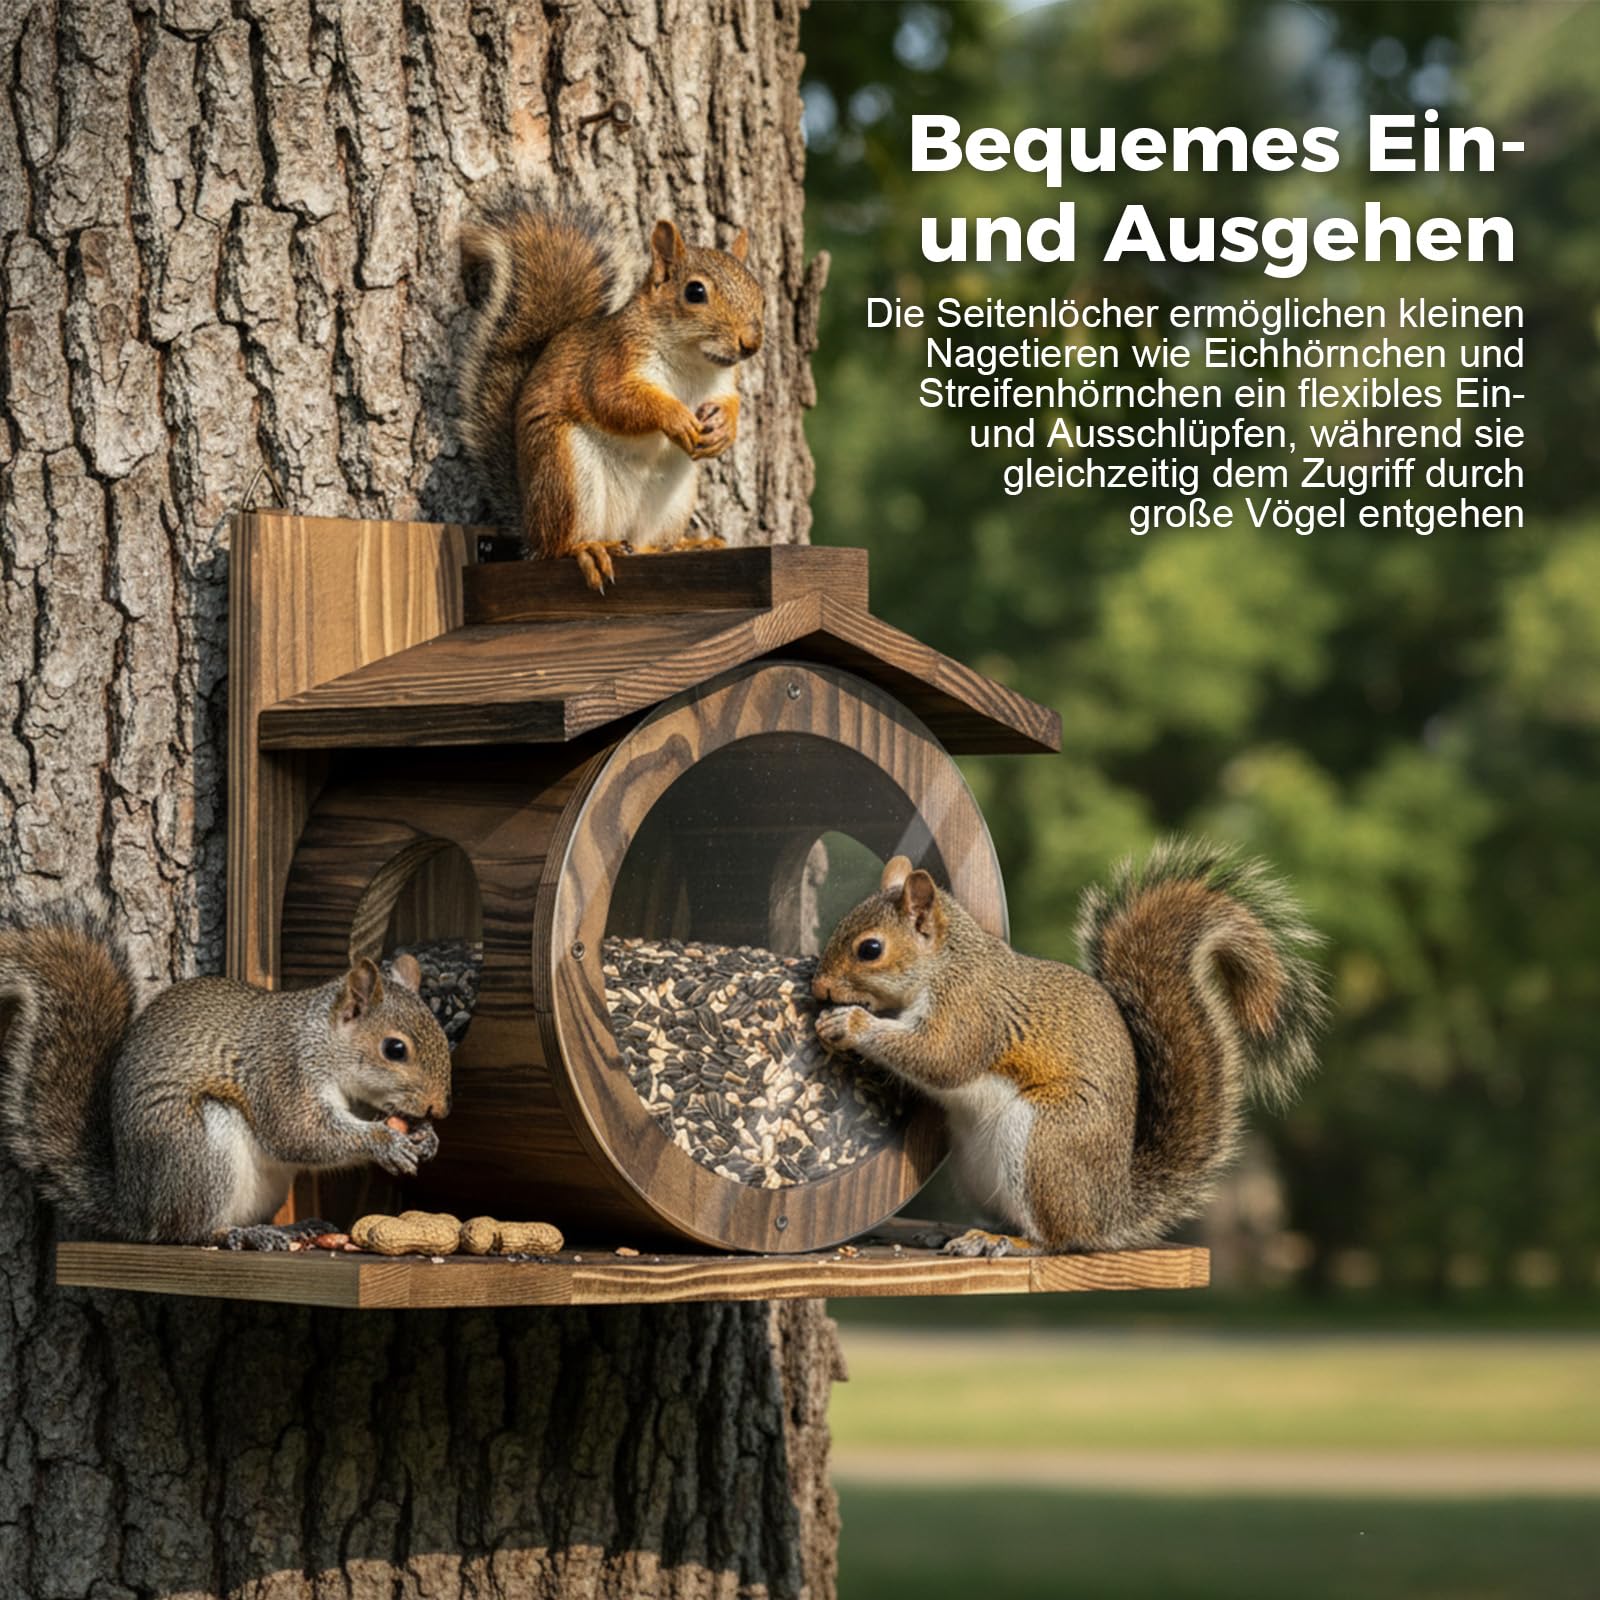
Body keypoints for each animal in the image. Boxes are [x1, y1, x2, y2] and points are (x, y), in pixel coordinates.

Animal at [0, 913, 453, 1249]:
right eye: (395, 1049)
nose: (439, 1108)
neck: (320, 1041)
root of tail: (135, 1205)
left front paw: (426, 1136)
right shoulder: (281, 1073)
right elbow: (300, 1134)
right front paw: (385, 1142)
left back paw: (289, 1228)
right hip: (198, 1153)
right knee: (187, 1232)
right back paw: (237, 1233)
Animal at [456, 197, 765, 593]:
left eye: (761, 295)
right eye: (695, 292)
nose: (751, 344)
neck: (693, 362)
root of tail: (531, 527)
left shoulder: (724, 383)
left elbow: (732, 404)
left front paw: (725, 430)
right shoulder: (611, 359)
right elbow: (612, 400)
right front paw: (674, 416)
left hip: (673, 498)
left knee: (644, 542)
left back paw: (681, 545)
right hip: (565, 471)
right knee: (558, 546)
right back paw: (588, 549)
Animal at [811, 839, 1327, 1257]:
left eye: (870, 949)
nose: (819, 987)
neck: (944, 964)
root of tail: (1110, 1211)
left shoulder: (972, 1012)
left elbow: (942, 1058)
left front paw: (851, 1024)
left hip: (1047, 1142)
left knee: (1057, 1237)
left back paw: (1005, 1242)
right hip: (977, 1168)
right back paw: (955, 1233)